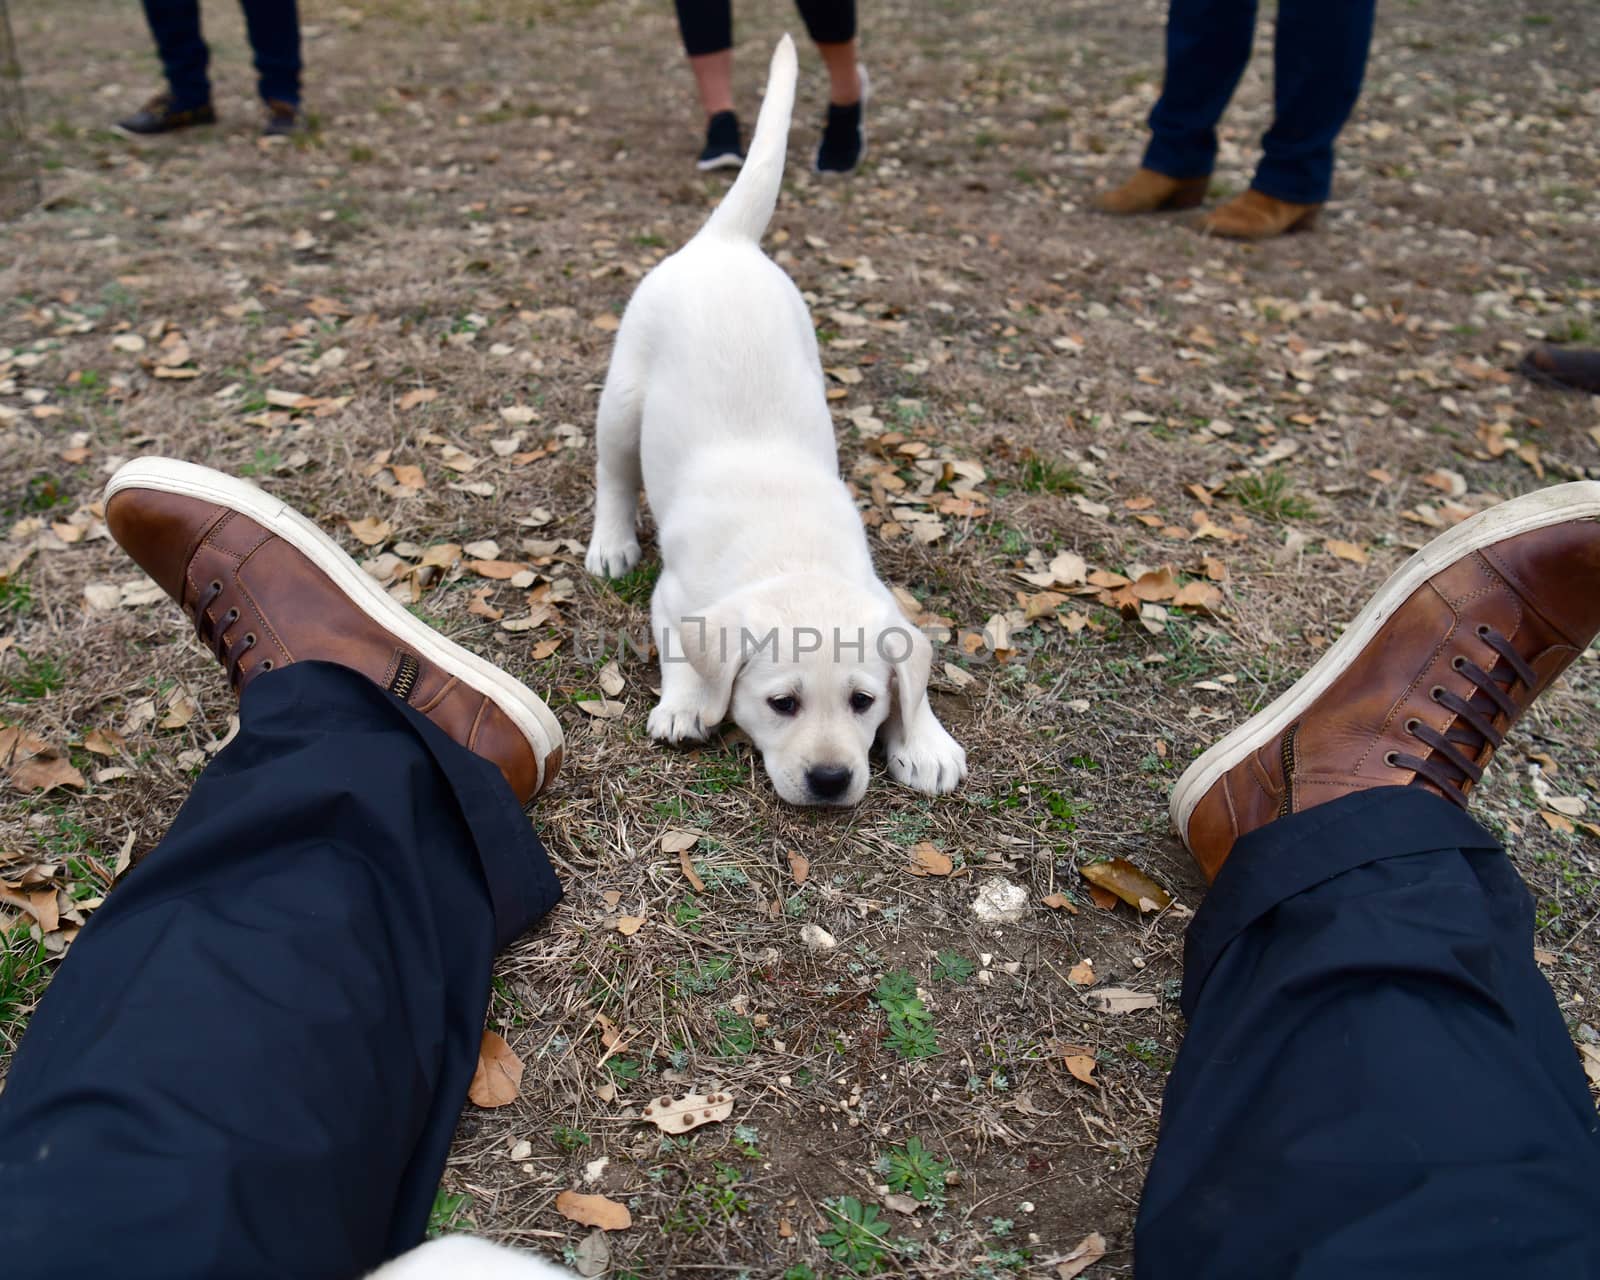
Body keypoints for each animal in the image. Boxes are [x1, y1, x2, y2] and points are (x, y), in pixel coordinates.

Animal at [588, 35, 960, 806]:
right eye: (781, 703)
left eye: (863, 702)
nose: (830, 780)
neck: (791, 553)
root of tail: (724, 241)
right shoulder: (677, 597)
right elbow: (684, 652)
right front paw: (685, 703)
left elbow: (913, 676)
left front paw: (927, 740)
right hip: (624, 396)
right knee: (612, 472)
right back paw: (610, 543)